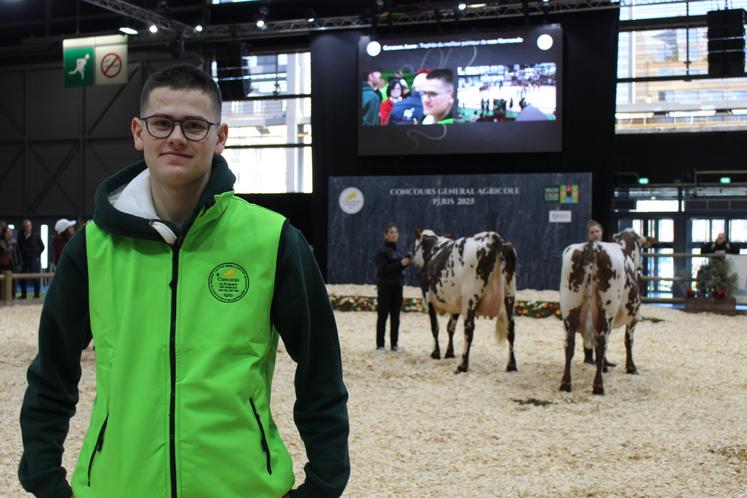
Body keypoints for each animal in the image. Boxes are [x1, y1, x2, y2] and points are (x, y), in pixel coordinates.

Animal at [412, 229, 516, 374]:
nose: (410, 256)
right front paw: (449, 353)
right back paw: (511, 365)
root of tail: (493, 237)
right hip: (509, 294)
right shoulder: (456, 304)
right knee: (510, 328)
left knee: (469, 329)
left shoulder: (428, 299)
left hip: (470, 297)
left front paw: (436, 353)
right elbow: (450, 328)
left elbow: (435, 327)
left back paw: (462, 365)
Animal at [560, 228, 644, 394]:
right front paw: (631, 367)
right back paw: (598, 386)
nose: (641, 266)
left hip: (568, 308)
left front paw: (606, 366)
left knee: (569, 345)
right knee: (601, 344)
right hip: (607, 310)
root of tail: (592, 245)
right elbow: (628, 341)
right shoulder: (634, 317)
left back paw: (566, 384)